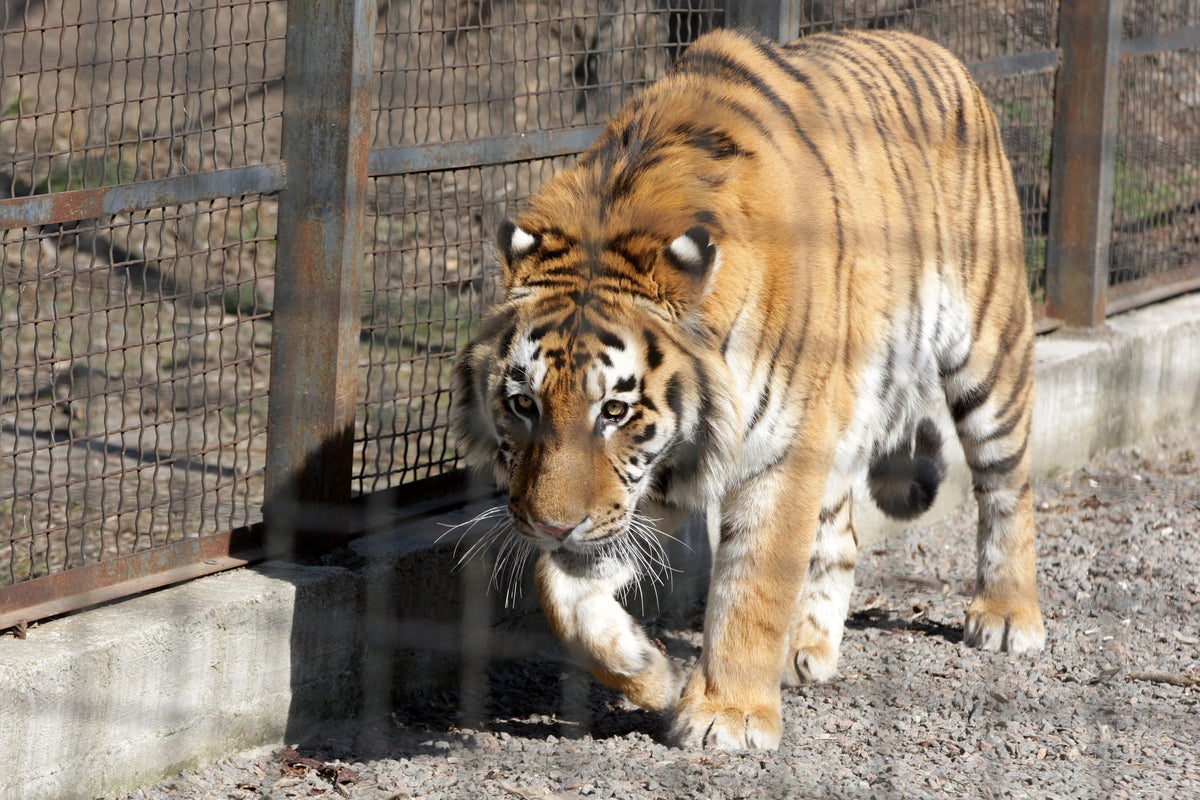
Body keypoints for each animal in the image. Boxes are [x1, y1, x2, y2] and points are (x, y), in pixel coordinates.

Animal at [450, 26, 1045, 750]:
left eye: (615, 410)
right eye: (523, 404)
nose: (552, 526)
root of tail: (933, 46)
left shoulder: (778, 453)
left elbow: (754, 584)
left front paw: (726, 714)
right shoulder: (654, 476)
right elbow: (561, 592)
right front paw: (648, 671)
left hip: (987, 348)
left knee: (1007, 484)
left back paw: (1008, 615)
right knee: (841, 534)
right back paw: (805, 648)